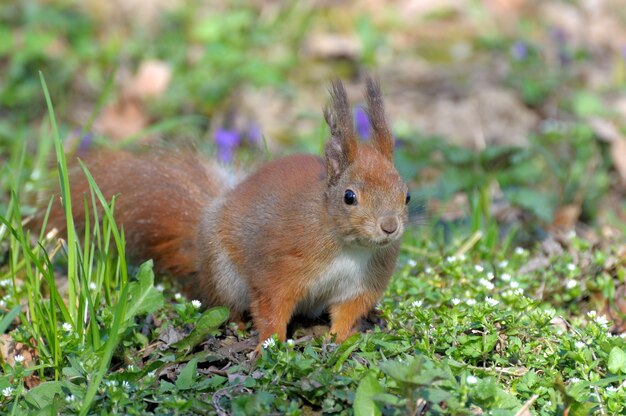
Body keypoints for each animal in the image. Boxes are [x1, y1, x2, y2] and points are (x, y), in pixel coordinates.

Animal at [46, 78, 408, 344]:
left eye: (406, 194)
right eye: (349, 197)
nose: (389, 227)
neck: (348, 245)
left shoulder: (363, 283)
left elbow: (347, 312)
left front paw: (342, 339)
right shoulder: (279, 266)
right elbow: (271, 306)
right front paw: (271, 344)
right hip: (225, 276)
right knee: (226, 306)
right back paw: (239, 326)